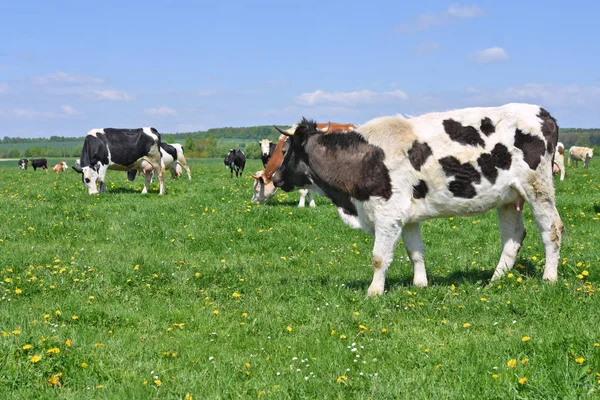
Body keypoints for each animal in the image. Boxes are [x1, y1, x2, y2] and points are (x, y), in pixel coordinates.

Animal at [272, 104, 564, 296]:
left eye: (286, 150)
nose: (275, 177)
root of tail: (544, 113)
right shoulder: (407, 216)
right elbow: (415, 252)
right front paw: (420, 284)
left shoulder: (388, 214)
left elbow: (379, 257)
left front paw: (374, 292)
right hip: (508, 198)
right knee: (513, 237)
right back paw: (495, 280)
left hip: (538, 188)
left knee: (551, 229)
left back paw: (549, 278)